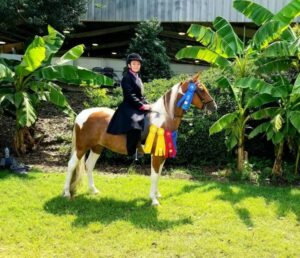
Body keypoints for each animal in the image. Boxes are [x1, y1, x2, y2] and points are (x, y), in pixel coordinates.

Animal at [63, 73, 217, 206]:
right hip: (82, 147)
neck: (163, 119)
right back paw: (66, 193)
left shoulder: (161, 154)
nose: (214, 107)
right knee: (71, 165)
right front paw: (154, 200)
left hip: (97, 147)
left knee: (89, 165)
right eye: (200, 89)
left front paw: (156, 194)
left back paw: (93, 190)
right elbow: (154, 175)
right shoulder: (156, 155)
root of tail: (82, 114)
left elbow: (159, 174)